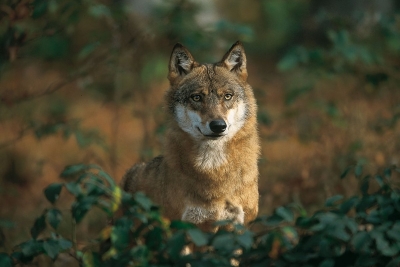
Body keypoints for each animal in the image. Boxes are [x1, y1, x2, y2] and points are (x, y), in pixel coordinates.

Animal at [121, 42, 260, 230]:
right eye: (197, 97)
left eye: (227, 96)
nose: (218, 126)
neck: (213, 169)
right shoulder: (183, 226)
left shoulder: (239, 226)